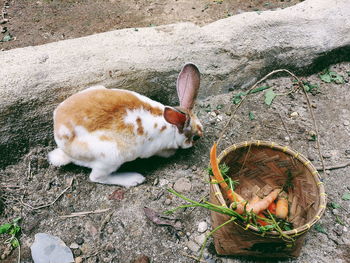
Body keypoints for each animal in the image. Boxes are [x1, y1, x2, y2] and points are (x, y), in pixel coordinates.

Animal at [47, 63, 204, 188]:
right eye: (195, 137)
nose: (199, 139)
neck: (171, 127)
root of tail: (64, 149)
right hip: (111, 156)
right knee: (97, 177)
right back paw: (134, 179)